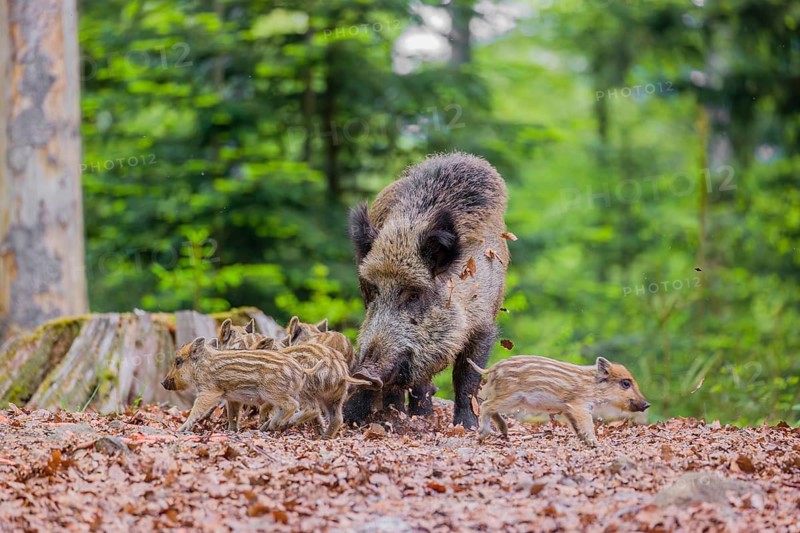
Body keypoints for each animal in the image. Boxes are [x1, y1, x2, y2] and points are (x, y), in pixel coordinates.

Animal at [347, 152, 509, 428]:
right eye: (376, 291)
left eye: (414, 295)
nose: (363, 373)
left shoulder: (484, 326)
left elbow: (467, 378)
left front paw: (467, 426)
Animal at [468, 355, 650, 447]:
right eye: (625, 383)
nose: (647, 404)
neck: (592, 386)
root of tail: (493, 368)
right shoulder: (580, 406)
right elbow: (587, 424)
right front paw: (596, 443)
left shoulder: (568, 410)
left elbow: (576, 427)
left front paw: (586, 442)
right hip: (510, 395)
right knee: (486, 406)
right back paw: (483, 434)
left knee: (491, 408)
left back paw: (504, 432)